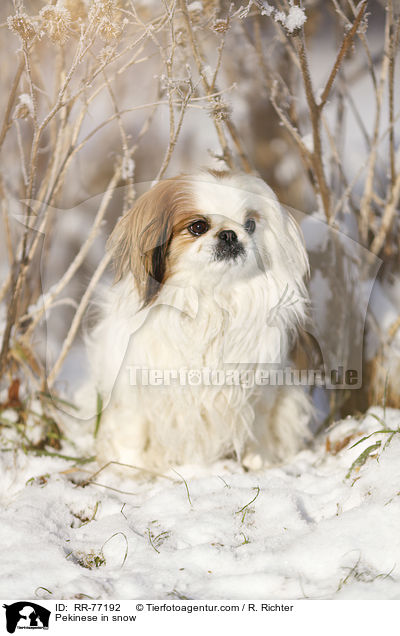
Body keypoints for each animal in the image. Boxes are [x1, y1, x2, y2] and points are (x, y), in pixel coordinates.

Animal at [88, 171, 312, 470]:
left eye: (250, 224)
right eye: (198, 227)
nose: (230, 233)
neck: (210, 300)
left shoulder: (259, 390)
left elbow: (258, 428)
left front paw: (258, 462)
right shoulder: (132, 389)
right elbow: (132, 433)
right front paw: (129, 470)